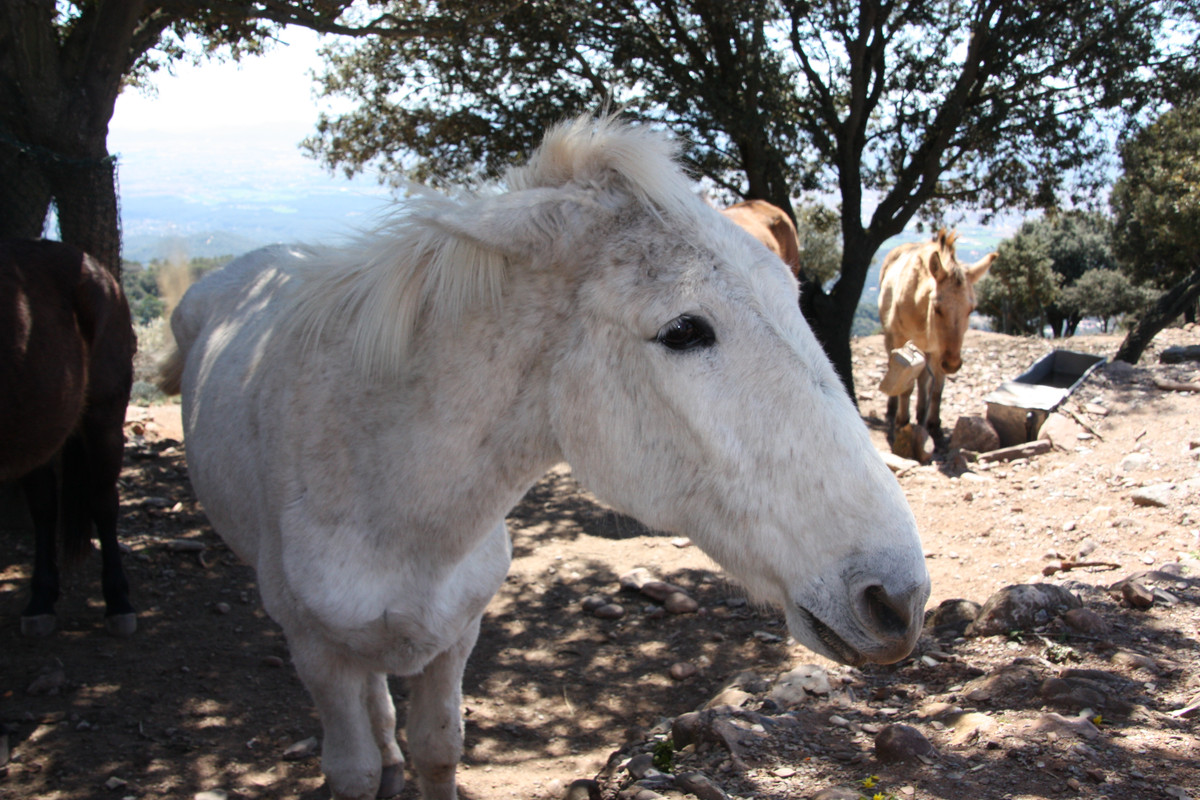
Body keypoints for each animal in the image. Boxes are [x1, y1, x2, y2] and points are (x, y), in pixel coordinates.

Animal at [1, 237, 136, 638]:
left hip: (104, 418)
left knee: (104, 502)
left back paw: (118, 602)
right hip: (40, 427)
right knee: (44, 505)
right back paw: (40, 601)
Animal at [159, 113, 926, 800]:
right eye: (683, 331)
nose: (899, 598)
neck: (386, 490)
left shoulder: (456, 636)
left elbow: (438, 750)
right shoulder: (315, 652)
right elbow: (350, 770)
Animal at [878, 227, 998, 448]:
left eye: (971, 309)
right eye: (937, 307)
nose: (952, 365)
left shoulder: (939, 350)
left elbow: (937, 389)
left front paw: (934, 425)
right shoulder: (903, 341)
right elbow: (906, 386)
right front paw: (902, 423)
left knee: (924, 379)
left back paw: (921, 413)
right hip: (891, 337)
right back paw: (893, 410)